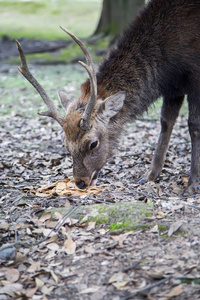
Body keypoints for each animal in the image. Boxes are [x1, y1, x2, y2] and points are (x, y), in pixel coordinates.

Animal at [16, 0, 200, 193]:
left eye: (93, 143)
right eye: (65, 144)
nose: (81, 182)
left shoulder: (195, 77)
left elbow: (194, 126)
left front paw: (192, 185)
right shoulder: (173, 88)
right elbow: (166, 122)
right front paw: (150, 175)